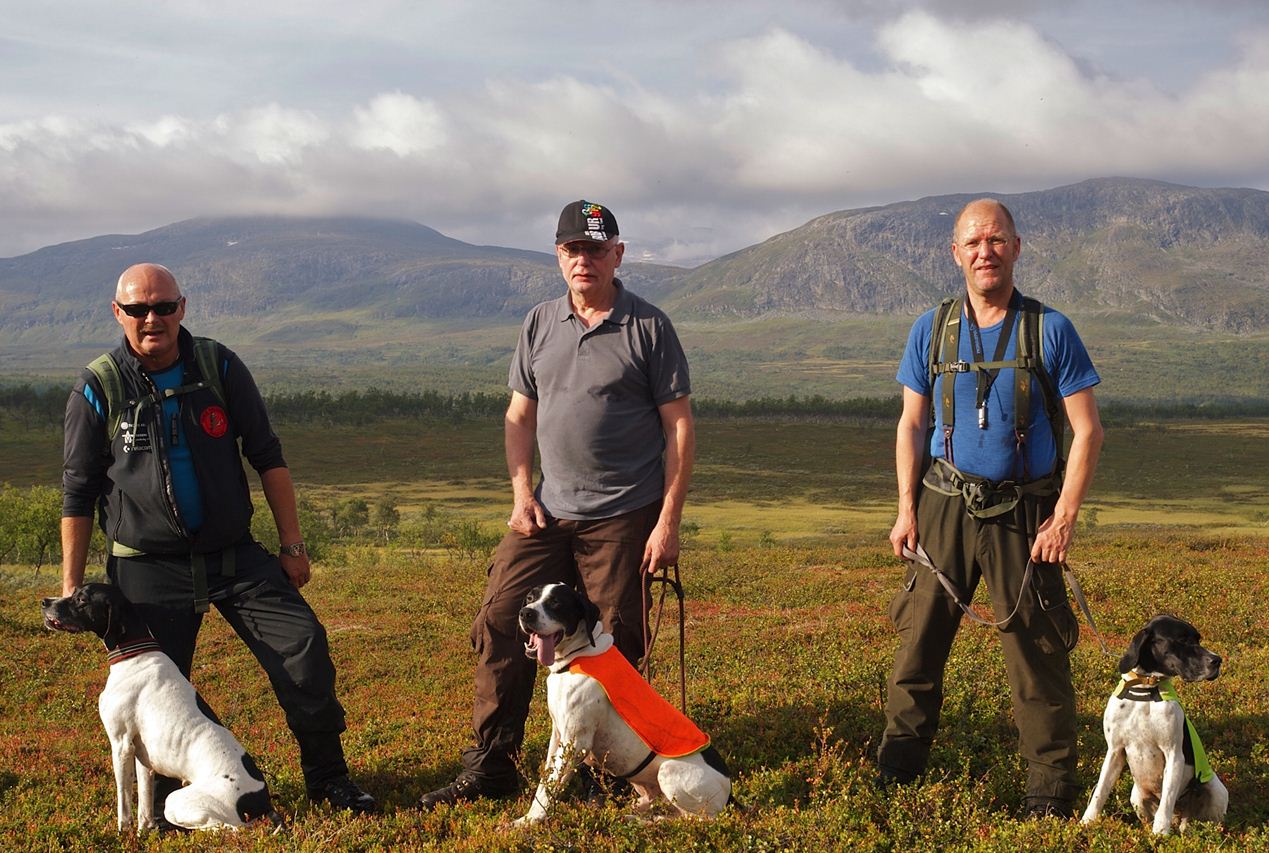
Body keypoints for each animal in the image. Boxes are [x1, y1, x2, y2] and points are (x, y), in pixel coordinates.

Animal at [42, 583, 277, 827]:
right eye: (74, 592)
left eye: (82, 599)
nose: (45, 602)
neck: (134, 654)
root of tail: (261, 800)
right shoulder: (143, 758)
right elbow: (144, 811)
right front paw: (144, 832)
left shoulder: (121, 744)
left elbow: (124, 805)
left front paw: (122, 833)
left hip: (178, 802)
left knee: (229, 827)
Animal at [515, 583, 736, 822]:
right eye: (530, 598)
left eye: (556, 602)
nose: (526, 613)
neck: (577, 656)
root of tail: (730, 794)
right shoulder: (558, 735)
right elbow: (545, 781)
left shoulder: (575, 743)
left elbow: (550, 788)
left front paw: (529, 821)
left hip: (669, 772)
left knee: (694, 819)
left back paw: (647, 821)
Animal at [1081, 616, 1228, 837]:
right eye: (1182, 640)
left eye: (1198, 639)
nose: (1217, 660)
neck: (1145, 690)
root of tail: (1180, 815)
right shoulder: (1114, 751)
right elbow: (1100, 791)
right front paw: (1087, 821)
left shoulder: (1174, 755)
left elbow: (1166, 801)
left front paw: (1160, 833)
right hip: (1136, 796)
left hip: (1216, 791)